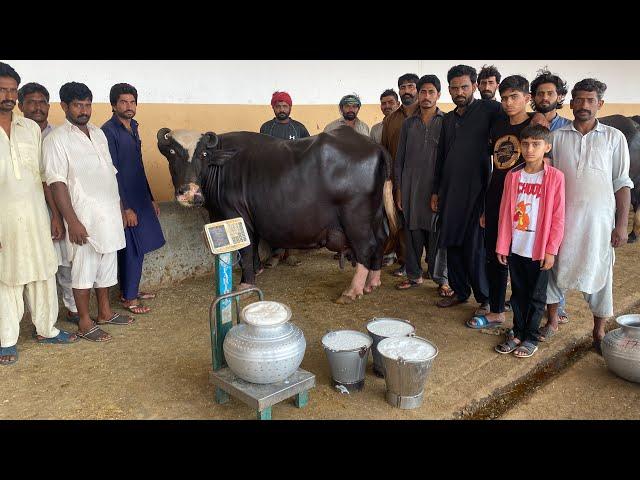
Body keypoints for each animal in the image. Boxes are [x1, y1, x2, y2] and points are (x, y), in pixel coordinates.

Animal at [156, 125, 396, 302]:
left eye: (204, 154)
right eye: (172, 153)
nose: (189, 192)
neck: (221, 167)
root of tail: (374, 146)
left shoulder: (237, 215)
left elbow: (247, 249)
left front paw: (246, 283)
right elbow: (252, 248)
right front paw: (257, 270)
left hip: (356, 218)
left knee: (366, 247)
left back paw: (352, 291)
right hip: (376, 215)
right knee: (382, 240)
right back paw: (372, 282)